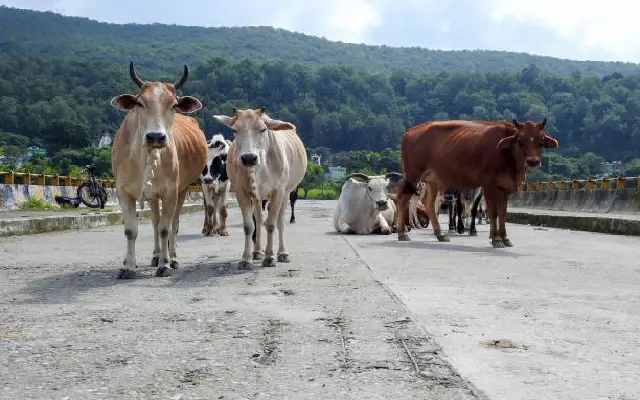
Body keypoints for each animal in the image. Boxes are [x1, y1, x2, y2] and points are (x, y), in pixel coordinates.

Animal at [110, 61, 208, 278]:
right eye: (139, 103)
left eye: (173, 105)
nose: (156, 136)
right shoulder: (123, 191)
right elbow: (131, 230)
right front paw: (128, 266)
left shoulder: (171, 191)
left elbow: (166, 228)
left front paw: (165, 264)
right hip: (153, 195)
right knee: (155, 222)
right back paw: (155, 255)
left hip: (182, 189)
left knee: (173, 224)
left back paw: (172, 258)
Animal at [212, 107, 307, 269]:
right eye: (235, 130)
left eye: (263, 129)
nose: (249, 158)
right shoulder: (242, 192)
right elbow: (249, 226)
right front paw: (246, 259)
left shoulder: (279, 191)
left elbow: (271, 224)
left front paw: (270, 257)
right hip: (257, 198)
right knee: (258, 219)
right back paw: (257, 251)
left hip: (286, 193)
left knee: (279, 221)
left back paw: (282, 253)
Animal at [395, 118, 558, 248]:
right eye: (521, 141)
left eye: (541, 141)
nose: (533, 161)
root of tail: (409, 132)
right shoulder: (489, 186)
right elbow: (492, 213)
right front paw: (496, 239)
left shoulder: (504, 188)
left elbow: (502, 213)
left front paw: (505, 238)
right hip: (412, 175)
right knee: (403, 199)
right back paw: (402, 233)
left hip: (432, 180)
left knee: (428, 203)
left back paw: (440, 234)